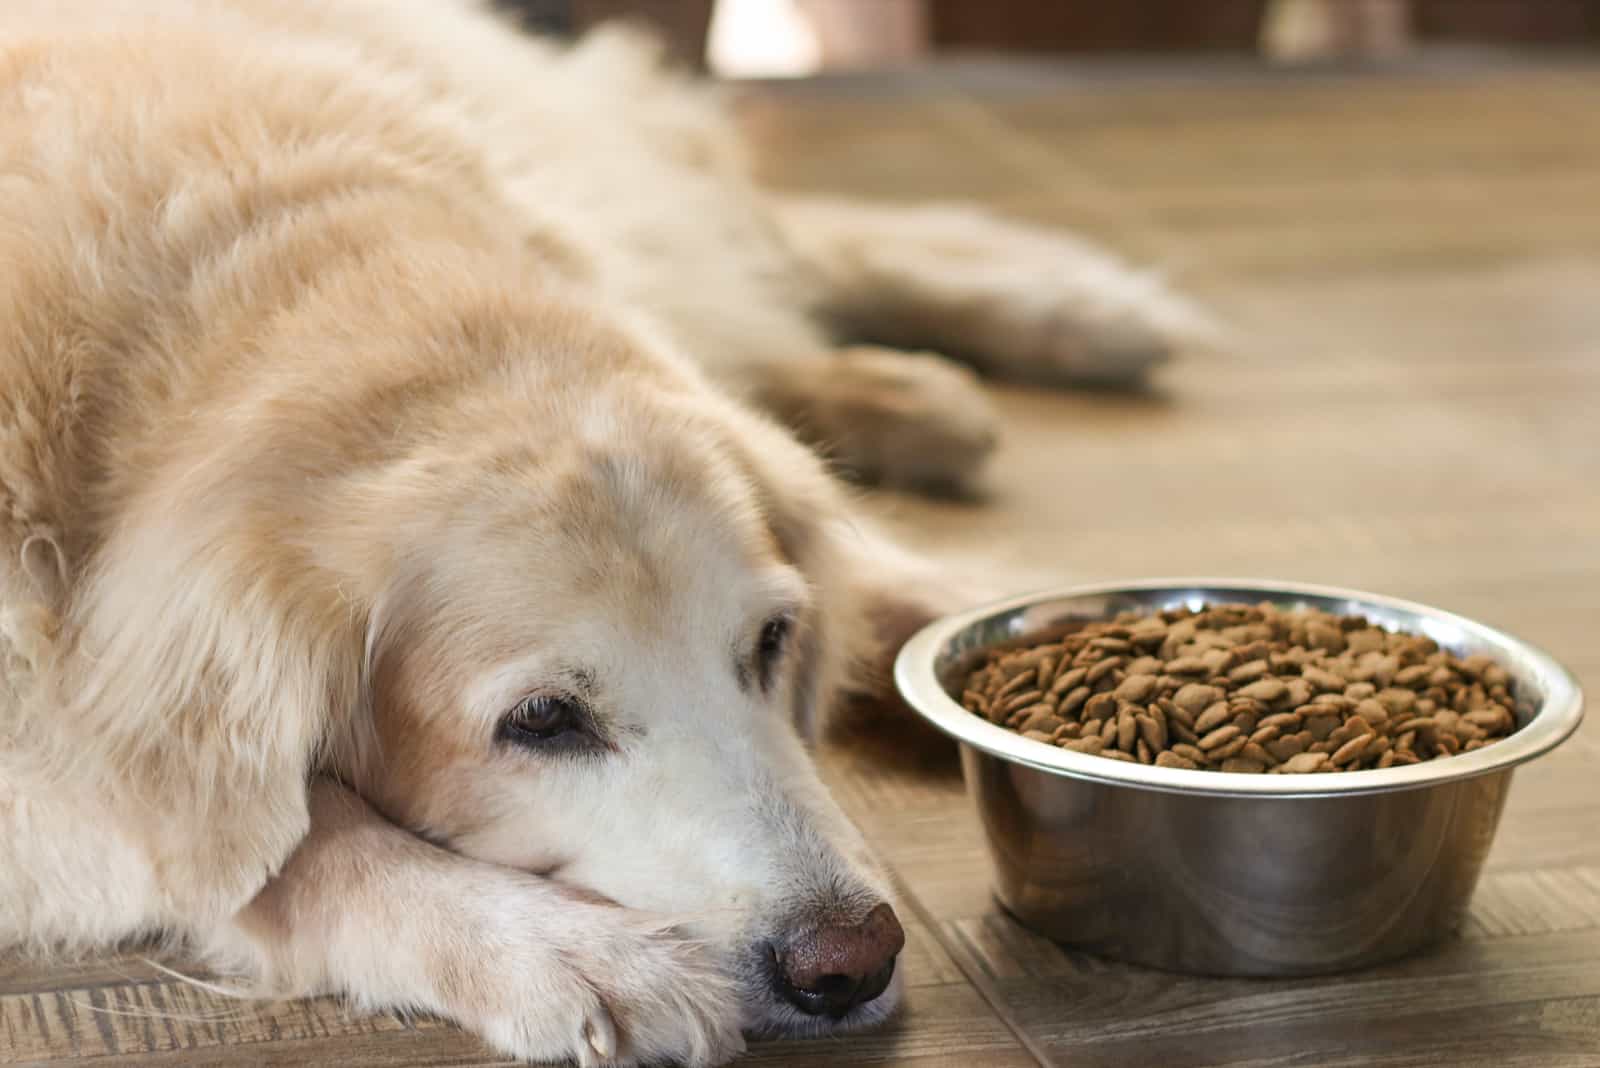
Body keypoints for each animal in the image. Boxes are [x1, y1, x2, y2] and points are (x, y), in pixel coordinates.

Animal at [0, 4, 1203, 1061]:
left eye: (770, 644)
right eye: (541, 721)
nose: (850, 960)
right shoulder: (56, 759)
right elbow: (287, 847)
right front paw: (566, 954)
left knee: (765, 245)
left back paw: (1052, 321)